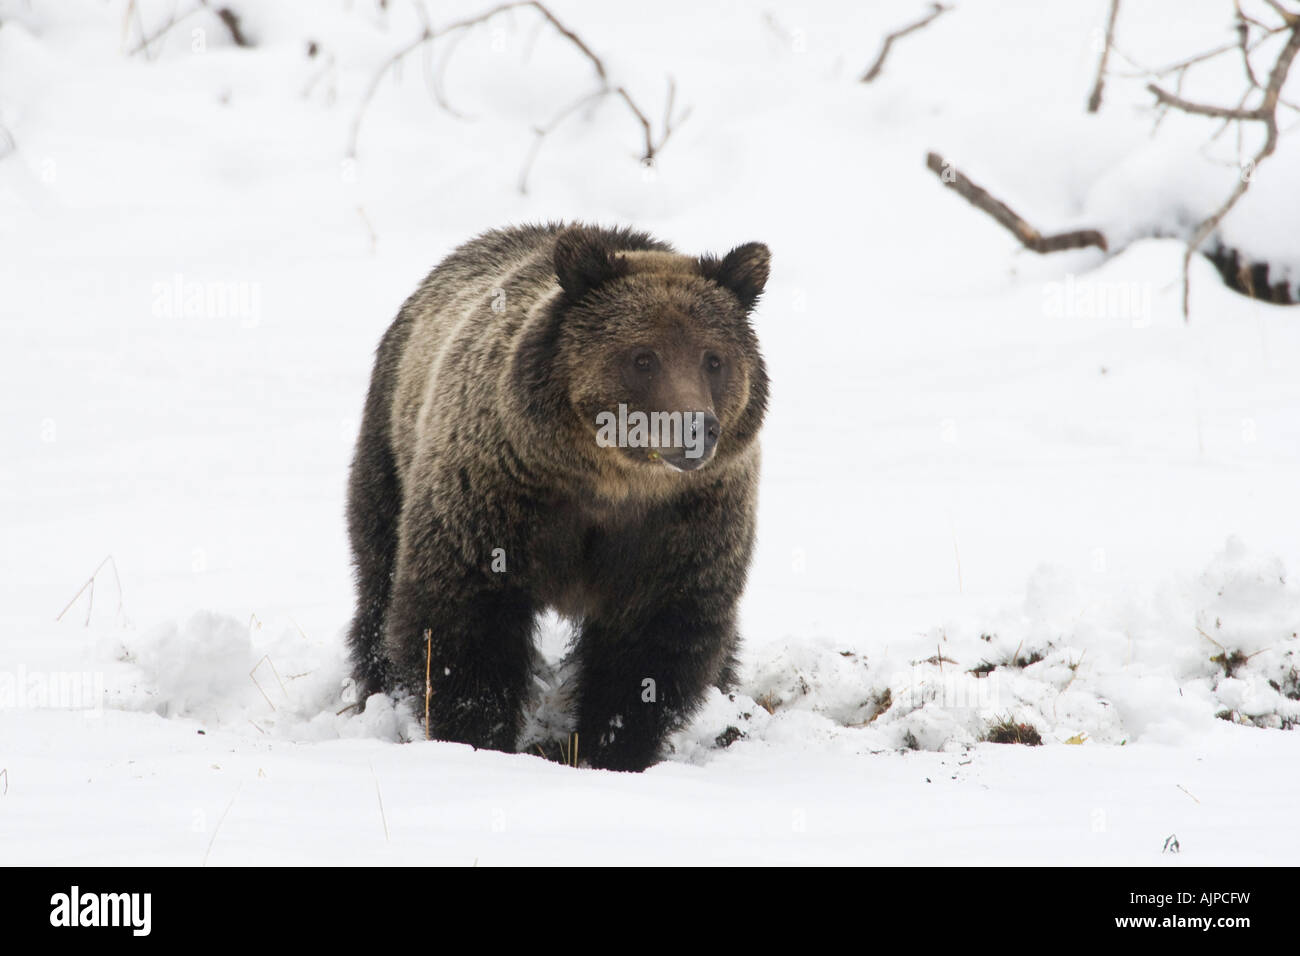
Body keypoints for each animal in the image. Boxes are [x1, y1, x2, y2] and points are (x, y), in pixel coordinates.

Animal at [345, 222, 769, 770]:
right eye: (643, 357)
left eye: (713, 359)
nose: (695, 428)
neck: (610, 485)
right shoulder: (497, 499)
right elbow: (464, 622)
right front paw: (477, 738)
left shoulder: (682, 527)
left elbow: (652, 649)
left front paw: (613, 749)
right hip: (390, 442)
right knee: (377, 570)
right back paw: (377, 687)